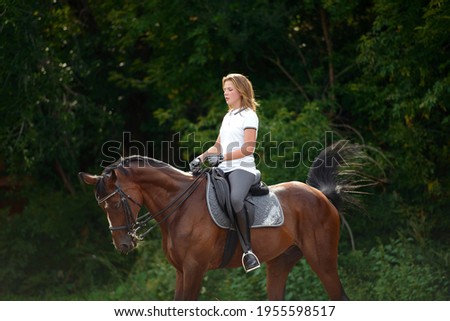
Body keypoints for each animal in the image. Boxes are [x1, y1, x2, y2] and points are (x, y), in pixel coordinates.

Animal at [78, 141, 358, 298]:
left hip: (322, 260)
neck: (180, 207)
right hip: (280, 262)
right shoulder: (181, 271)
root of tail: (320, 196)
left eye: (115, 203)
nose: (124, 245)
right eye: (102, 206)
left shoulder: (194, 269)